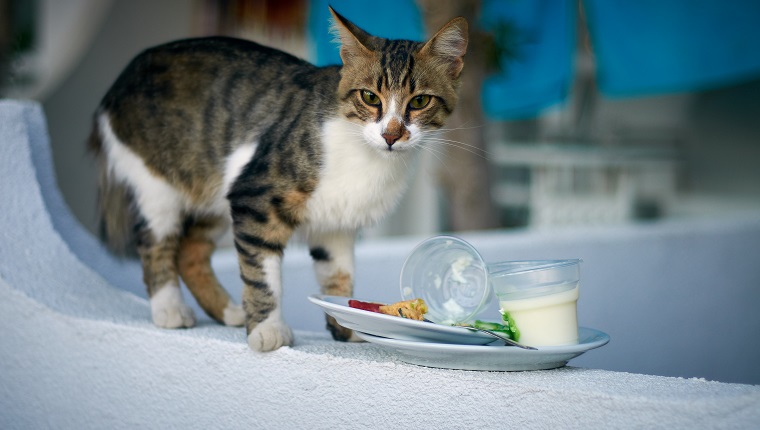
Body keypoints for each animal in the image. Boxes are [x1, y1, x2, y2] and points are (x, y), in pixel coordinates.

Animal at [89, 6, 470, 352]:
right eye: (369, 97)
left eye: (419, 101)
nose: (391, 135)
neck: (367, 157)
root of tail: (121, 79)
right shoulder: (254, 198)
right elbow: (262, 276)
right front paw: (268, 329)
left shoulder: (337, 226)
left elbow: (339, 277)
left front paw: (348, 324)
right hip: (157, 184)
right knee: (157, 244)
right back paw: (170, 309)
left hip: (214, 193)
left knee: (190, 251)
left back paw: (228, 311)